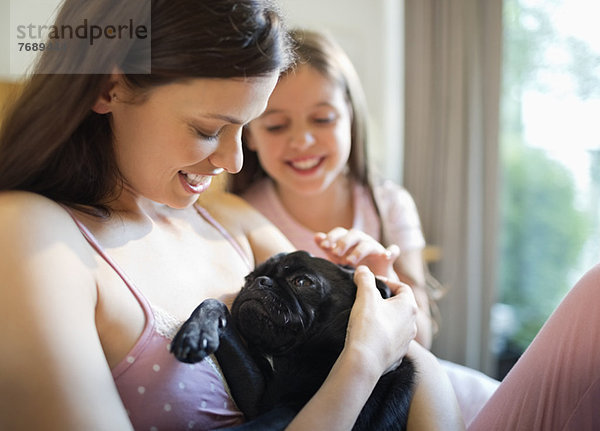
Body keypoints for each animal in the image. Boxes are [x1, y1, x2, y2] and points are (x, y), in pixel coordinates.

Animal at [169, 251, 412, 430]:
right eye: (248, 279)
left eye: (301, 281)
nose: (260, 281)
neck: (291, 356)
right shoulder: (257, 401)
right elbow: (214, 305)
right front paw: (197, 332)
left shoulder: (291, 411)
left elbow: (253, 427)